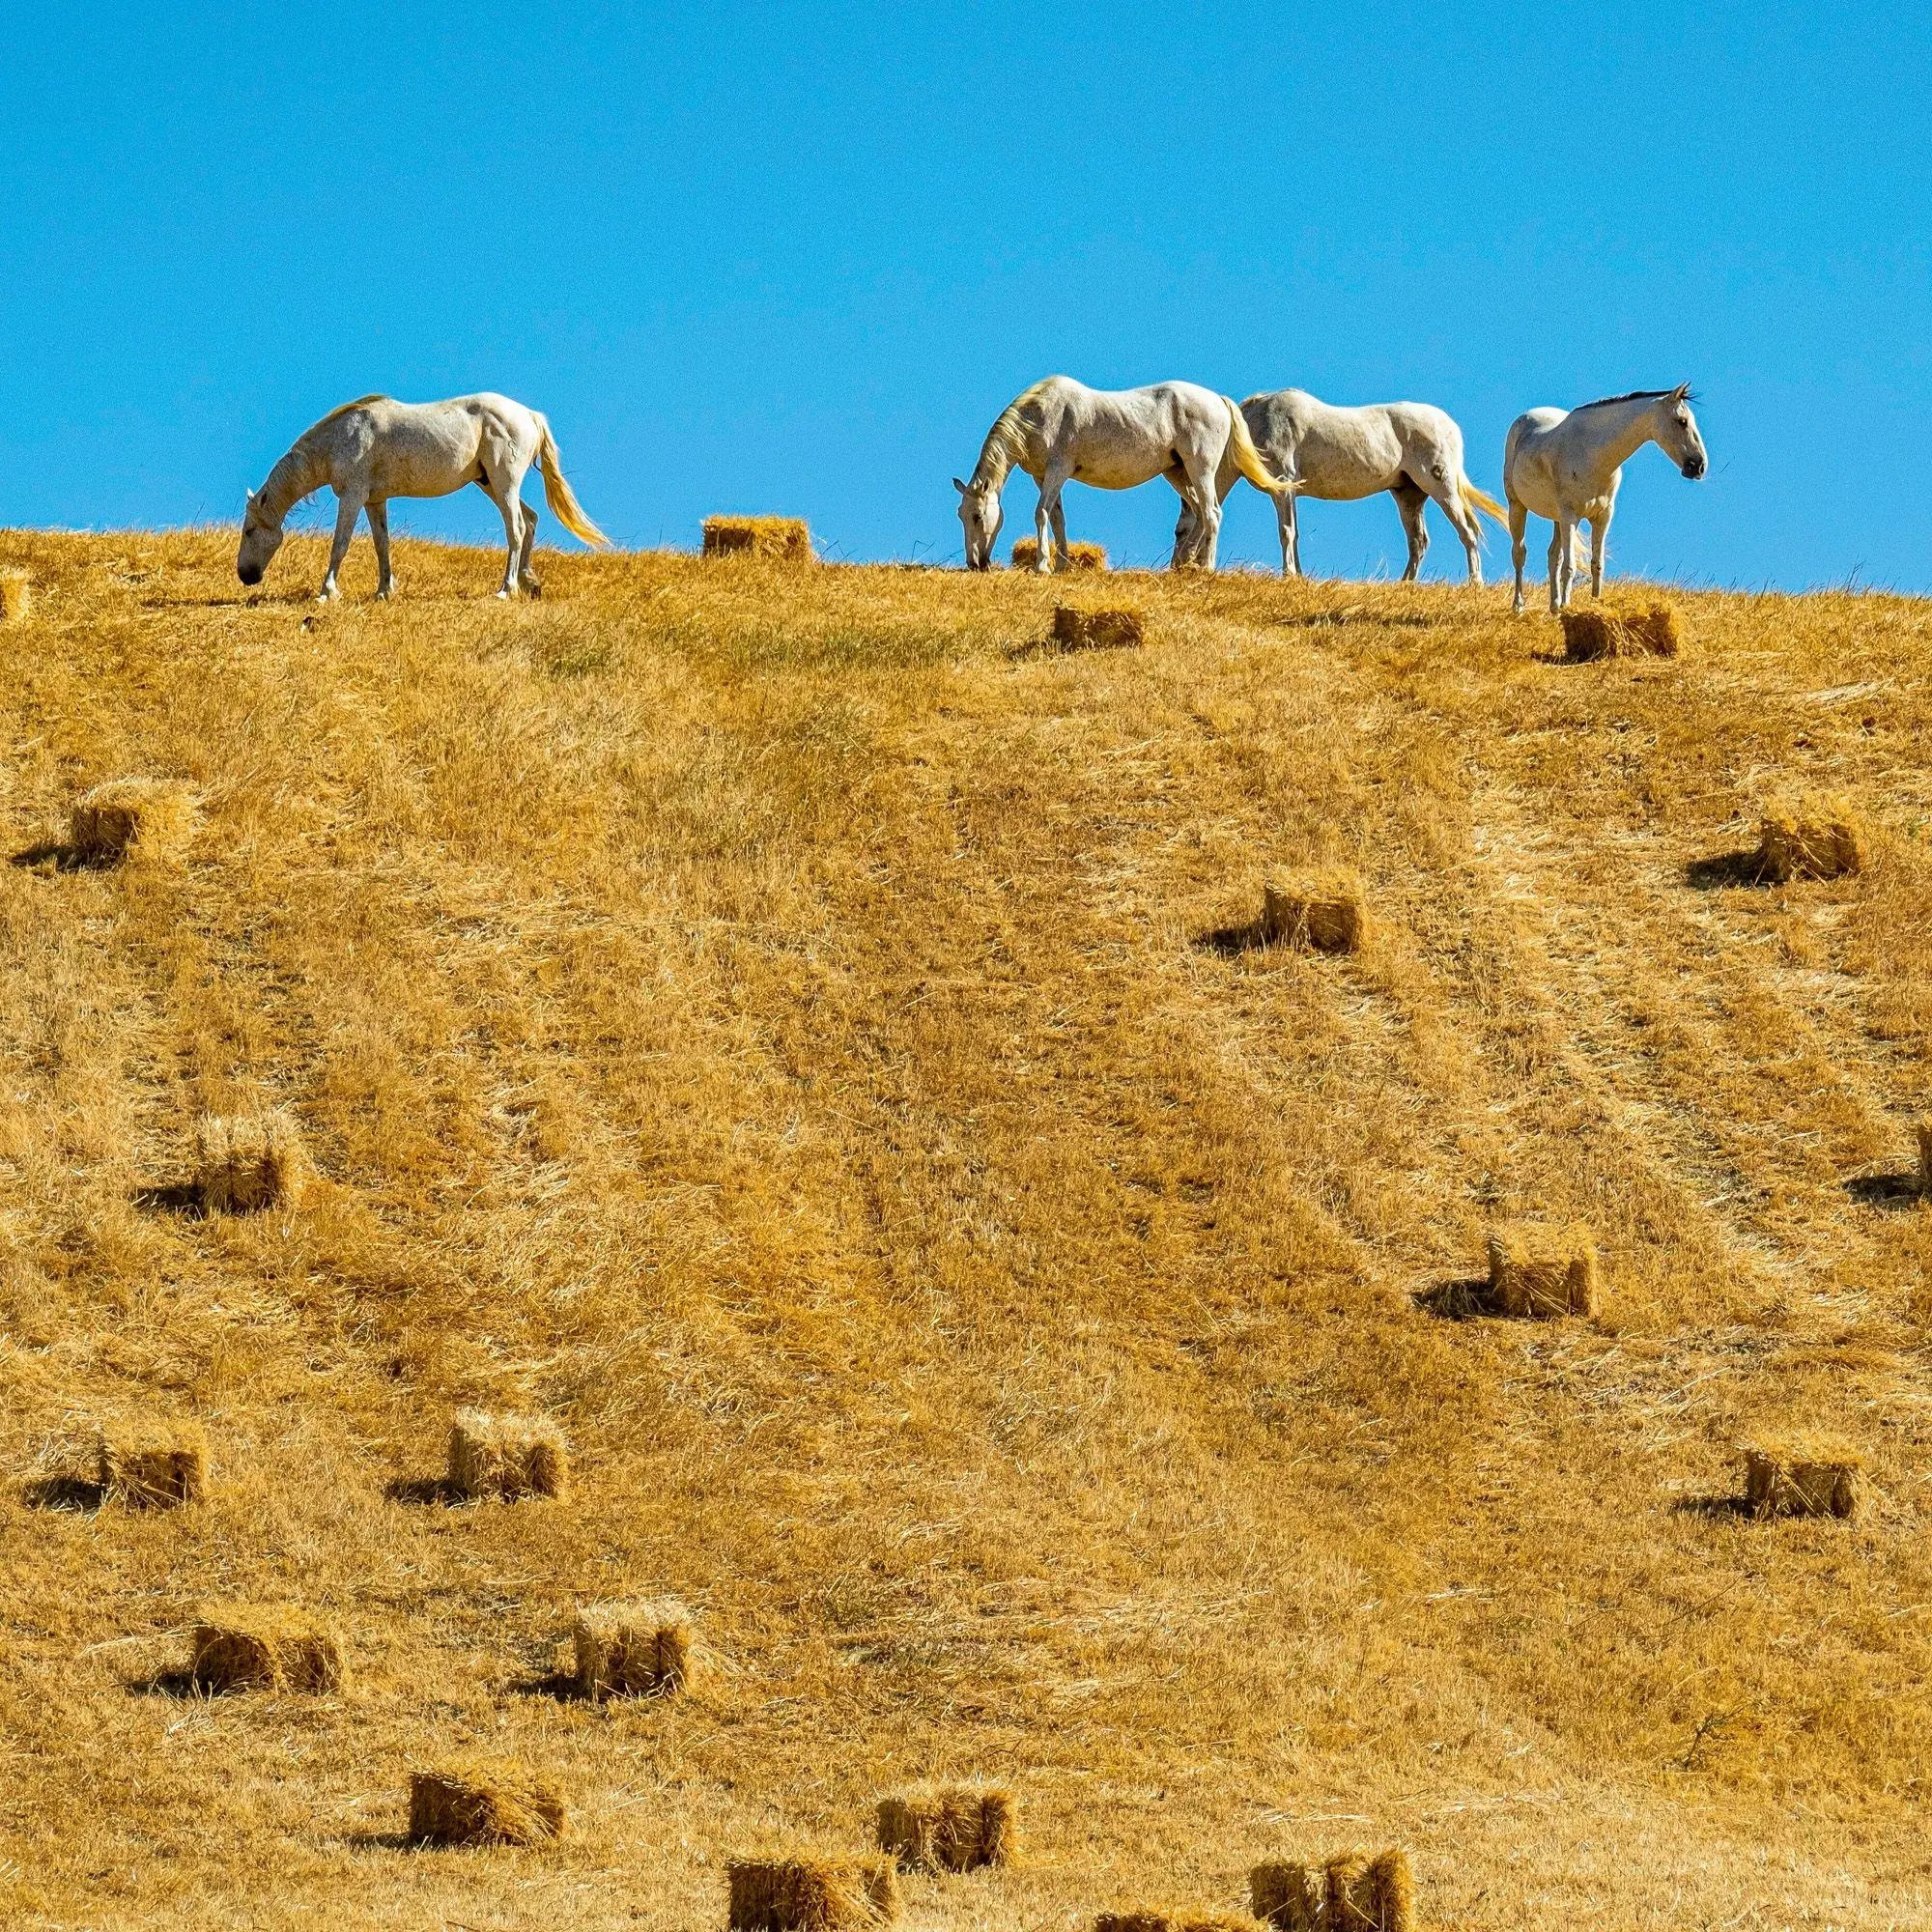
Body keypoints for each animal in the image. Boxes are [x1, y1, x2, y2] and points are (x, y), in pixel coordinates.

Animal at [236, 393, 607, 601]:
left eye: (249, 530)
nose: (245, 576)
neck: (342, 438)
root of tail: (529, 414)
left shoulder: (353, 496)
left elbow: (340, 544)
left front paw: (327, 592)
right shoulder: (374, 500)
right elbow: (381, 545)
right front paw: (383, 591)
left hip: (504, 485)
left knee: (515, 529)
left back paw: (507, 588)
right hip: (490, 484)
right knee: (529, 522)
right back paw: (529, 582)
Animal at [953, 377, 1292, 572]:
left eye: (978, 516)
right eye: (961, 515)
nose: (974, 563)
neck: (1039, 415)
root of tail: (1219, 400)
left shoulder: (1057, 470)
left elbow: (1041, 514)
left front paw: (1043, 566)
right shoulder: (1044, 477)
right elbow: (1058, 519)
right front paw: (1062, 565)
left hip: (1201, 470)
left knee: (1211, 514)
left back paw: (1206, 567)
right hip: (1178, 473)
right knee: (1197, 514)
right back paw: (1184, 565)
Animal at [1178, 390, 1508, 581]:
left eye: (1179, 531)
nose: (1178, 567)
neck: (1255, 424)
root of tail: (1449, 427)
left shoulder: (1283, 486)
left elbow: (1286, 532)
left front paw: (1288, 574)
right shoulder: (1292, 492)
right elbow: (1295, 534)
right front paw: (1298, 576)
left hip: (1442, 487)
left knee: (1468, 532)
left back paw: (1475, 583)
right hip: (1408, 495)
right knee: (1419, 541)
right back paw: (1405, 584)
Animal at [1503, 386, 1707, 612]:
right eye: (1682, 421)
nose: (1699, 466)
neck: (1592, 454)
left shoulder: (1602, 517)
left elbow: (1596, 564)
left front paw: (1593, 603)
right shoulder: (1570, 517)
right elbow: (1570, 567)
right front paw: (1567, 606)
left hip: (1556, 519)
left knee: (1553, 556)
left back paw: (1554, 607)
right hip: (1518, 506)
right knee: (1519, 553)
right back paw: (1519, 606)